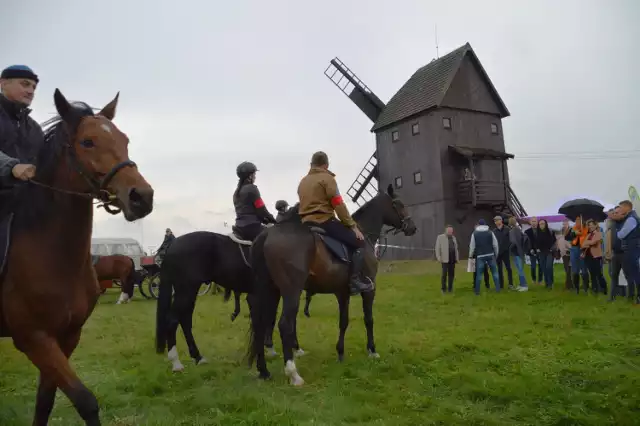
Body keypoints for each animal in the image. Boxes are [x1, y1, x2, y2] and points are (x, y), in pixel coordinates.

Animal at [0, 88, 154, 424]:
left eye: (124, 139)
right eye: (88, 142)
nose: (142, 197)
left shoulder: (67, 336)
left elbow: (45, 400)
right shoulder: (34, 338)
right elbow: (85, 400)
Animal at [152, 228, 282, 372]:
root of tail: (173, 245)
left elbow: (270, 319)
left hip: (189, 291)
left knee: (184, 320)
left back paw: (198, 357)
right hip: (186, 290)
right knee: (173, 320)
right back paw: (176, 363)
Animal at [248, 186, 418, 386]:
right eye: (399, 204)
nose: (412, 227)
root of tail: (267, 233)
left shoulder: (342, 293)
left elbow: (343, 321)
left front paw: (340, 353)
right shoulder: (370, 290)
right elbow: (369, 319)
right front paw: (372, 350)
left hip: (269, 291)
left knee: (261, 324)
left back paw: (264, 370)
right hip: (291, 291)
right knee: (284, 325)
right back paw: (293, 373)